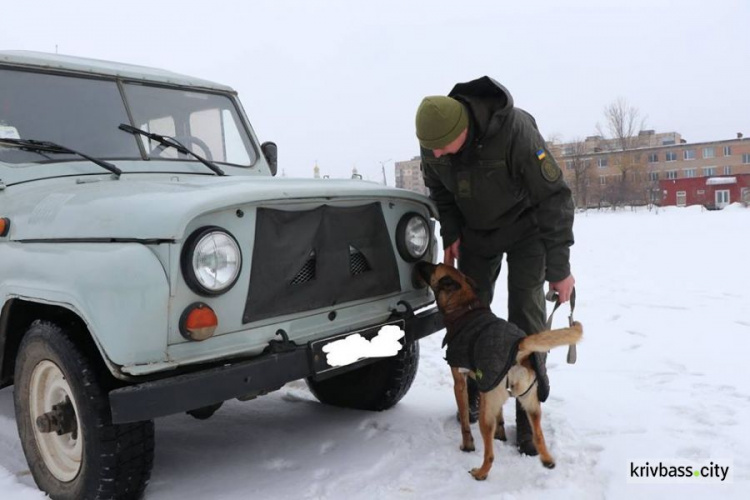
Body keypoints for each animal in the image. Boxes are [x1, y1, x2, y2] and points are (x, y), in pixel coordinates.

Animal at [418, 262, 580, 480]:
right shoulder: (488, 386)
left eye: (435, 267)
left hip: (486, 413)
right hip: (531, 404)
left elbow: (465, 422)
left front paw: (467, 445)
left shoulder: (460, 383)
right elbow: (501, 416)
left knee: (490, 454)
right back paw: (547, 460)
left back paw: (481, 472)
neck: (465, 306)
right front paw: (501, 434)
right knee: (538, 436)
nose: (418, 264)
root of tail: (519, 347)